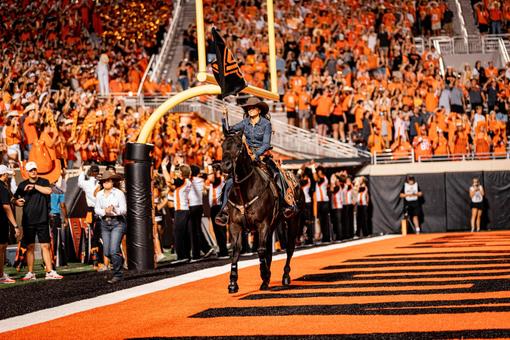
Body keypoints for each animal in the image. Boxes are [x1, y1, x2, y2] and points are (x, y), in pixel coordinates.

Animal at [220, 131, 302, 294]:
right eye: (223, 145)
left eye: (238, 145)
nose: (225, 165)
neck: (244, 191)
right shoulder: (235, 225)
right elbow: (236, 251)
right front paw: (233, 282)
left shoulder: (262, 224)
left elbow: (261, 250)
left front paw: (264, 275)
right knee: (269, 251)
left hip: (292, 221)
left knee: (289, 248)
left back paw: (285, 276)